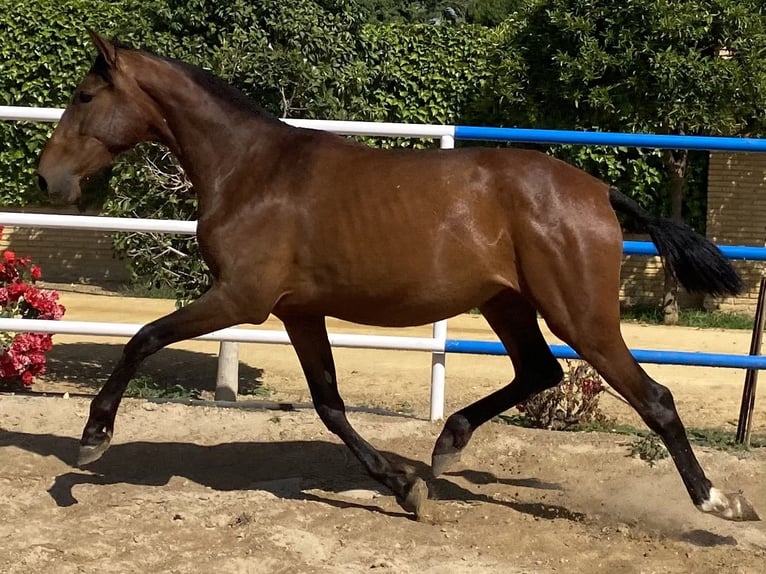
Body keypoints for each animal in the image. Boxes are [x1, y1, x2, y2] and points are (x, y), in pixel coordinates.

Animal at [39, 33, 760, 524]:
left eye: (84, 96)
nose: (48, 180)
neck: (252, 170)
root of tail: (597, 191)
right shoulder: (297, 310)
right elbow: (329, 404)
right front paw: (405, 488)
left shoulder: (241, 298)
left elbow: (142, 338)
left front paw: (91, 444)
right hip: (507, 304)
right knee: (539, 372)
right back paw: (445, 447)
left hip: (579, 314)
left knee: (653, 397)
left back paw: (718, 503)